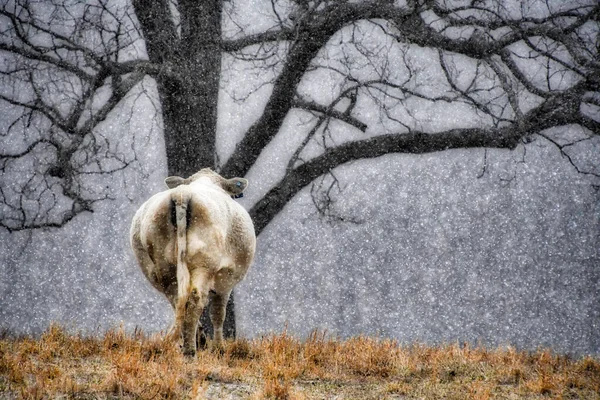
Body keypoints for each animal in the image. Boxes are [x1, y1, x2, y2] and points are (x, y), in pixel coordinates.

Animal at [130, 167, 254, 354]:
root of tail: (182, 192)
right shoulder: (226, 281)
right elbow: (218, 314)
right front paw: (219, 348)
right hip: (204, 263)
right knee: (195, 299)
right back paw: (190, 351)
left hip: (163, 265)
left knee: (178, 300)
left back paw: (192, 342)